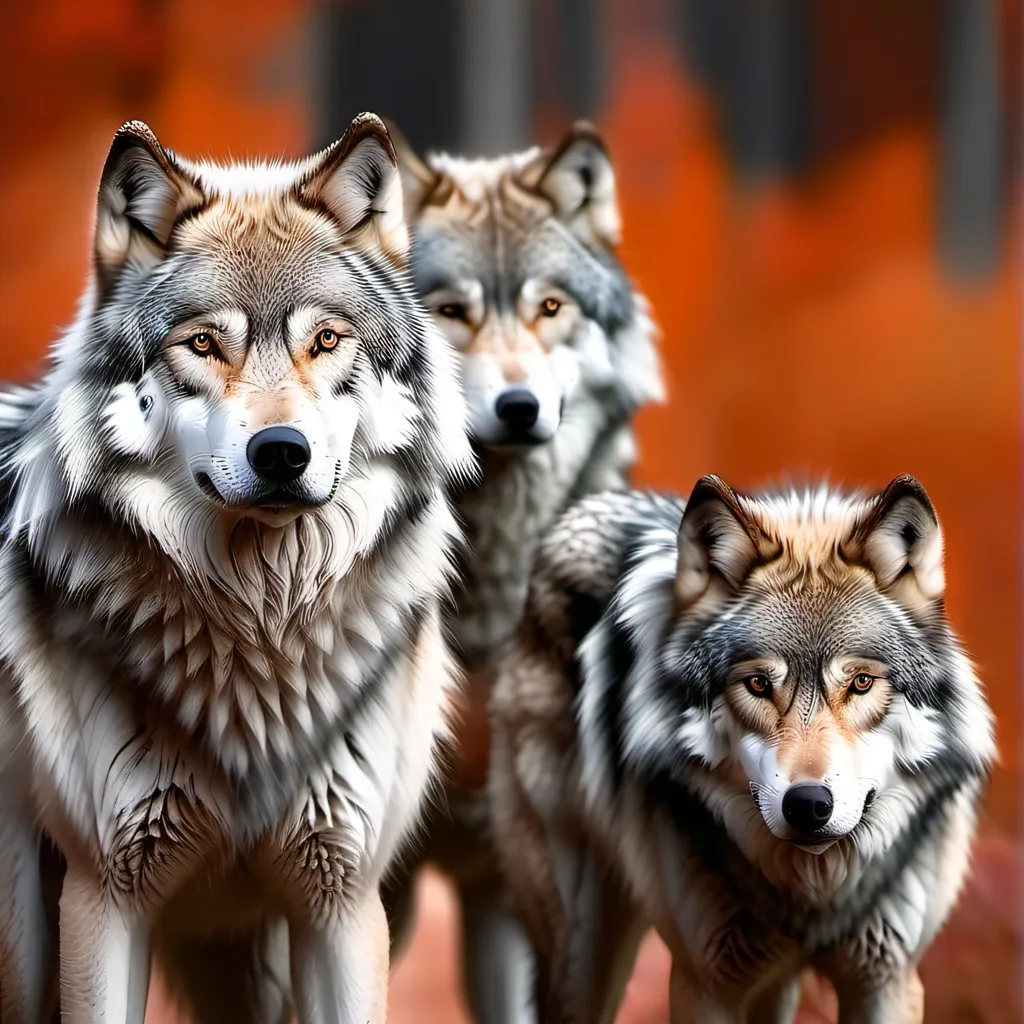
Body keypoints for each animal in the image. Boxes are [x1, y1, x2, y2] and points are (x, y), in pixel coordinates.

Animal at [0, 112, 473, 1024]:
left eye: (326, 340)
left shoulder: (341, 900)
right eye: (203, 344)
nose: (281, 452)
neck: (261, 626)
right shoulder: (104, 898)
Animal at [490, 474, 995, 1023]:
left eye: (861, 682)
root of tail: (583, 511)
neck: (813, 893)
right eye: (757, 684)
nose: (809, 805)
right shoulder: (707, 981)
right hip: (583, 944)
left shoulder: (888, 980)